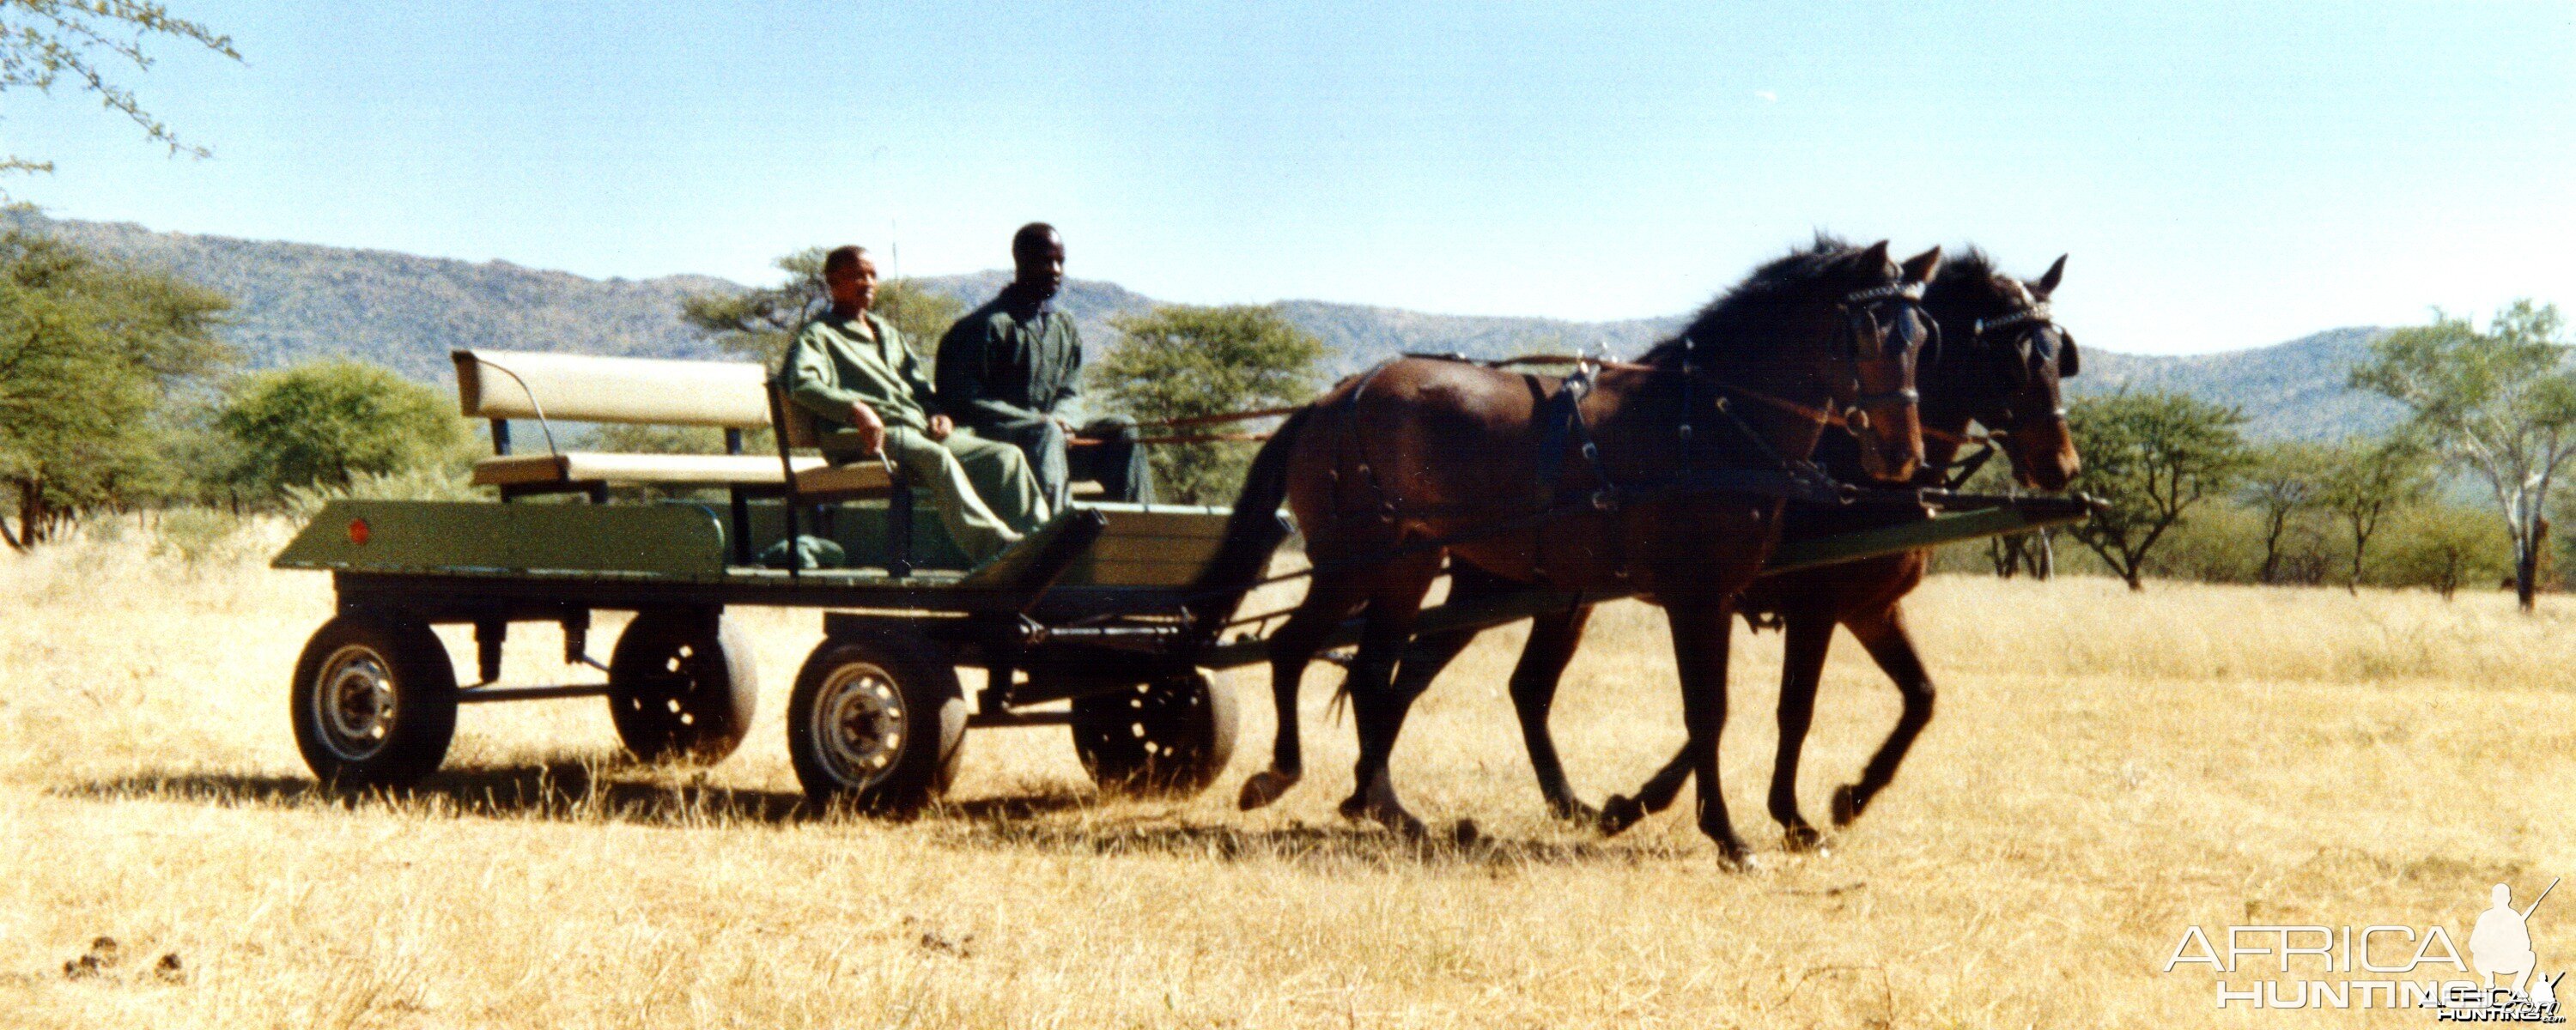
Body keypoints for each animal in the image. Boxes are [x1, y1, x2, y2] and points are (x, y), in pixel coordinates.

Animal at [1195, 242, 1937, 860]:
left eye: (1922, 338)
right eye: (1865, 332)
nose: (1902, 455)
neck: (1710, 421)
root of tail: (1331, 399)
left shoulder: (1736, 597)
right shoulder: (1700, 596)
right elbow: (1710, 713)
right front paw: (1728, 836)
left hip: (1409, 571)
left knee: (1375, 672)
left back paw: (1387, 807)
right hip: (1360, 564)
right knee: (1297, 649)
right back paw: (1280, 775)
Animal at [1381, 250, 2081, 845]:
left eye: (2058, 354)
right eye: (2016, 359)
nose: (2063, 466)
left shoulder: (1869, 608)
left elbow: (1921, 697)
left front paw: (1849, 798)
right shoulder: (1809, 608)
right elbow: (1786, 711)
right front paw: (1782, 816)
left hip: (1557, 596)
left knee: (1511, 684)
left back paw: (1551, 803)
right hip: (1496, 587)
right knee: (1425, 672)